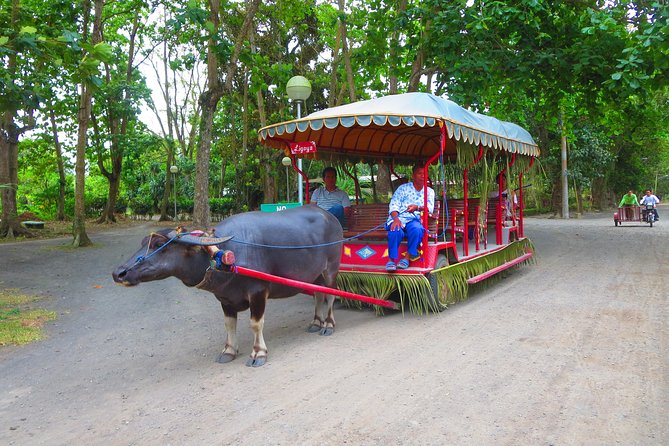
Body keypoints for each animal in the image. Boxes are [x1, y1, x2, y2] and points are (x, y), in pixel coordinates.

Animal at [112, 206, 342, 366]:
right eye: (143, 243)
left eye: (160, 245)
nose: (118, 273)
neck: (222, 254)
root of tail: (330, 217)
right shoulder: (225, 298)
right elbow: (229, 325)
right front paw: (229, 351)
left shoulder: (258, 292)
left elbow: (255, 324)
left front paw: (258, 353)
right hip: (314, 275)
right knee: (319, 294)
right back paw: (316, 322)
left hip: (331, 268)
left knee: (331, 295)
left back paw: (328, 325)